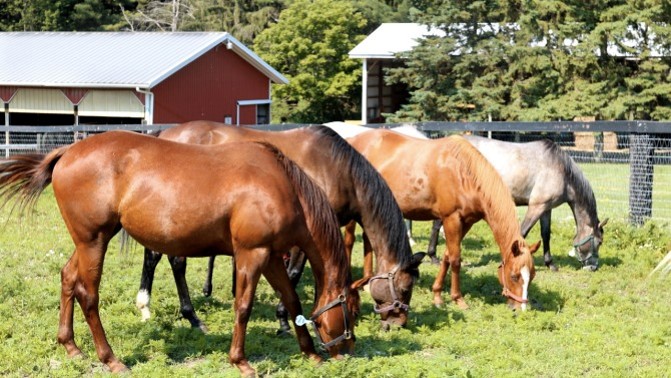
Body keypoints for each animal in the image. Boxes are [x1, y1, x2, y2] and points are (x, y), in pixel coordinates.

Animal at [0, 130, 362, 376]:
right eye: (353, 311)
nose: (347, 350)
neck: (283, 186)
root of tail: (67, 151)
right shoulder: (252, 254)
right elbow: (243, 307)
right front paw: (241, 361)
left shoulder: (271, 257)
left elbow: (292, 300)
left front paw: (310, 353)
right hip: (93, 242)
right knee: (87, 294)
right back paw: (111, 359)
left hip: (89, 241)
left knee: (67, 279)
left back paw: (71, 346)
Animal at [133, 121, 420, 334]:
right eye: (406, 289)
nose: (399, 323)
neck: (334, 169)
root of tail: (165, 133)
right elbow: (293, 274)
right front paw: (286, 320)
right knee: (175, 262)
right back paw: (191, 317)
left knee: (156, 257)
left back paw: (148, 307)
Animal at [344, 130, 544, 310]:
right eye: (514, 276)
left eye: (533, 276)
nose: (520, 309)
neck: (464, 173)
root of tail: (351, 140)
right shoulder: (451, 219)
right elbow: (455, 259)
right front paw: (458, 299)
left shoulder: (466, 221)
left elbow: (447, 255)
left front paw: (438, 295)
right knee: (350, 240)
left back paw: (368, 281)